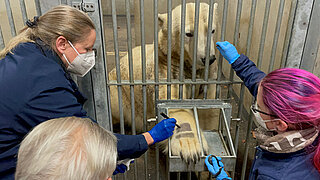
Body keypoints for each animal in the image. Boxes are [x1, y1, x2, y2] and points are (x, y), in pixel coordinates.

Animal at [109, 2, 219, 163]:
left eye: (212, 30)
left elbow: (210, 109)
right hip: (119, 94)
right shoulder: (167, 70)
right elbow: (174, 103)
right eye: (188, 33)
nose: (208, 58)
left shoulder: (208, 76)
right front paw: (190, 146)